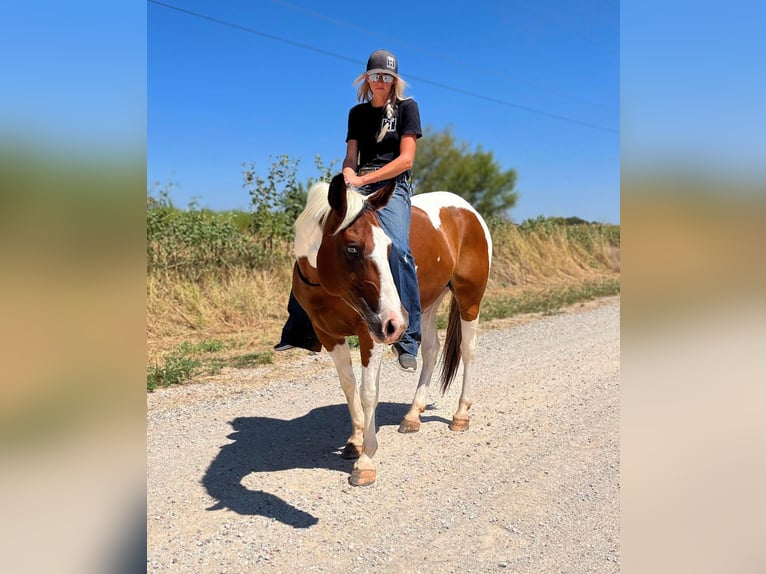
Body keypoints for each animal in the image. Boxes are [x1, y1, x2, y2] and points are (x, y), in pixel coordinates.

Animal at [292, 174, 496, 486]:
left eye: (389, 248)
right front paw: (355, 440)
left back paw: (461, 414)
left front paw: (366, 459)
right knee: (431, 350)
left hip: (469, 298)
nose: (395, 323)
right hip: (428, 303)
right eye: (352, 248)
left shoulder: (371, 332)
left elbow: (368, 392)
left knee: (468, 351)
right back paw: (413, 415)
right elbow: (348, 386)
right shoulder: (329, 334)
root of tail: (467, 210)